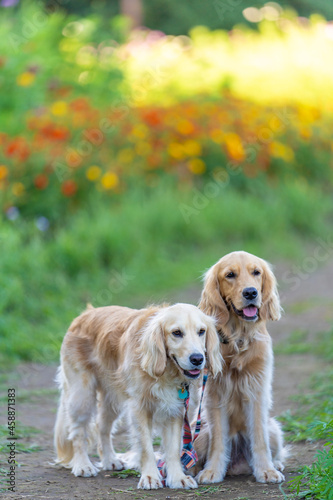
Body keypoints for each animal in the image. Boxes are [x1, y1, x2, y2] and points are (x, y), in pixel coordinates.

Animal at [54, 302, 222, 490]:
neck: (166, 371)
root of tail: (84, 314)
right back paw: (83, 465)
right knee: (78, 432)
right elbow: (146, 447)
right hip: (81, 396)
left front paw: (178, 478)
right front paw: (150, 477)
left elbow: (173, 449)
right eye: (177, 332)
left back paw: (110, 460)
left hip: (111, 401)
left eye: (201, 331)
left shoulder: (175, 411)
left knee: (102, 427)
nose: (197, 359)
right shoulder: (140, 409)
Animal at [195, 250, 286, 484]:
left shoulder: (256, 392)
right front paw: (211, 471)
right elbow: (219, 441)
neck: (239, 339)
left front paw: (266, 470)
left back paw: (275, 463)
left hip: (274, 429)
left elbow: (259, 438)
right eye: (230, 275)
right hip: (201, 434)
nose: (251, 292)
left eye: (256, 272)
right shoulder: (215, 396)